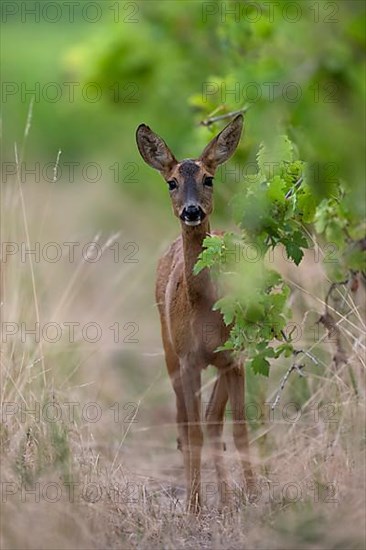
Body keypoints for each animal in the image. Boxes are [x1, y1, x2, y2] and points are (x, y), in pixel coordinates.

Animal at [136, 115, 253, 512]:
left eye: (209, 178)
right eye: (171, 182)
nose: (192, 211)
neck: (206, 310)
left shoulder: (234, 357)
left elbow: (239, 430)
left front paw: (254, 497)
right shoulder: (188, 358)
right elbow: (193, 432)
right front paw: (194, 508)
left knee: (213, 422)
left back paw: (230, 499)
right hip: (168, 347)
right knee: (185, 424)